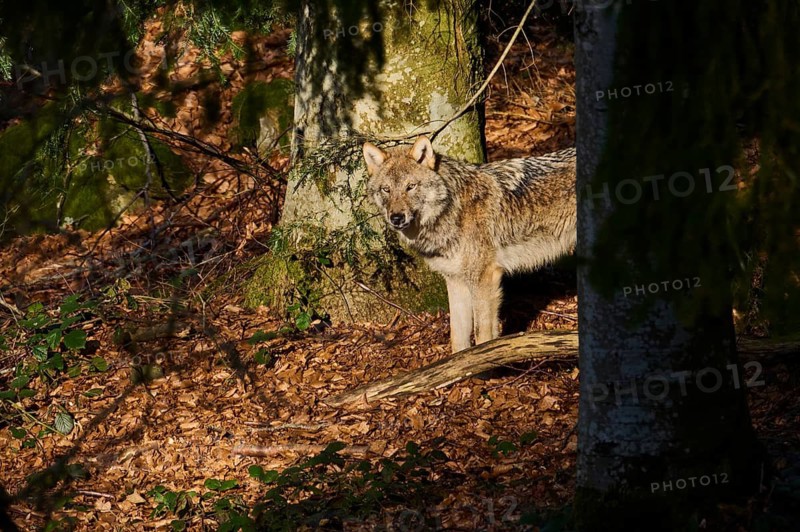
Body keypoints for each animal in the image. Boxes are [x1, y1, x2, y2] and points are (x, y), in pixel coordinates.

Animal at [363, 136, 576, 353]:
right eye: (386, 189)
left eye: (411, 186)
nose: (396, 218)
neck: (453, 210)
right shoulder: (455, 280)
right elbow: (458, 337)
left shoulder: (484, 278)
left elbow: (483, 335)